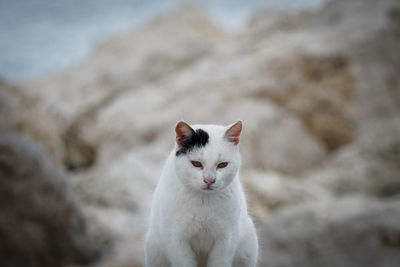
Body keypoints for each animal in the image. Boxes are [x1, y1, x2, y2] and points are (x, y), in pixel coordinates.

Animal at [145, 122, 258, 267]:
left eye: (222, 165)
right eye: (196, 163)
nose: (209, 180)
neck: (204, 202)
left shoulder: (226, 240)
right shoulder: (176, 241)